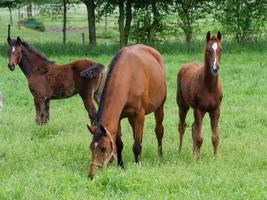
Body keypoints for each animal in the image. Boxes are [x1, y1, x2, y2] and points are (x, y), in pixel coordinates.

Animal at [87, 44, 168, 178]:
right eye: (91, 148)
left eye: (103, 148)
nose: (91, 175)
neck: (128, 77)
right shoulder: (119, 117)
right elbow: (119, 144)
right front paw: (121, 166)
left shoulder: (140, 115)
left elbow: (136, 145)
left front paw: (138, 166)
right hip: (131, 118)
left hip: (159, 107)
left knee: (159, 131)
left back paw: (160, 155)